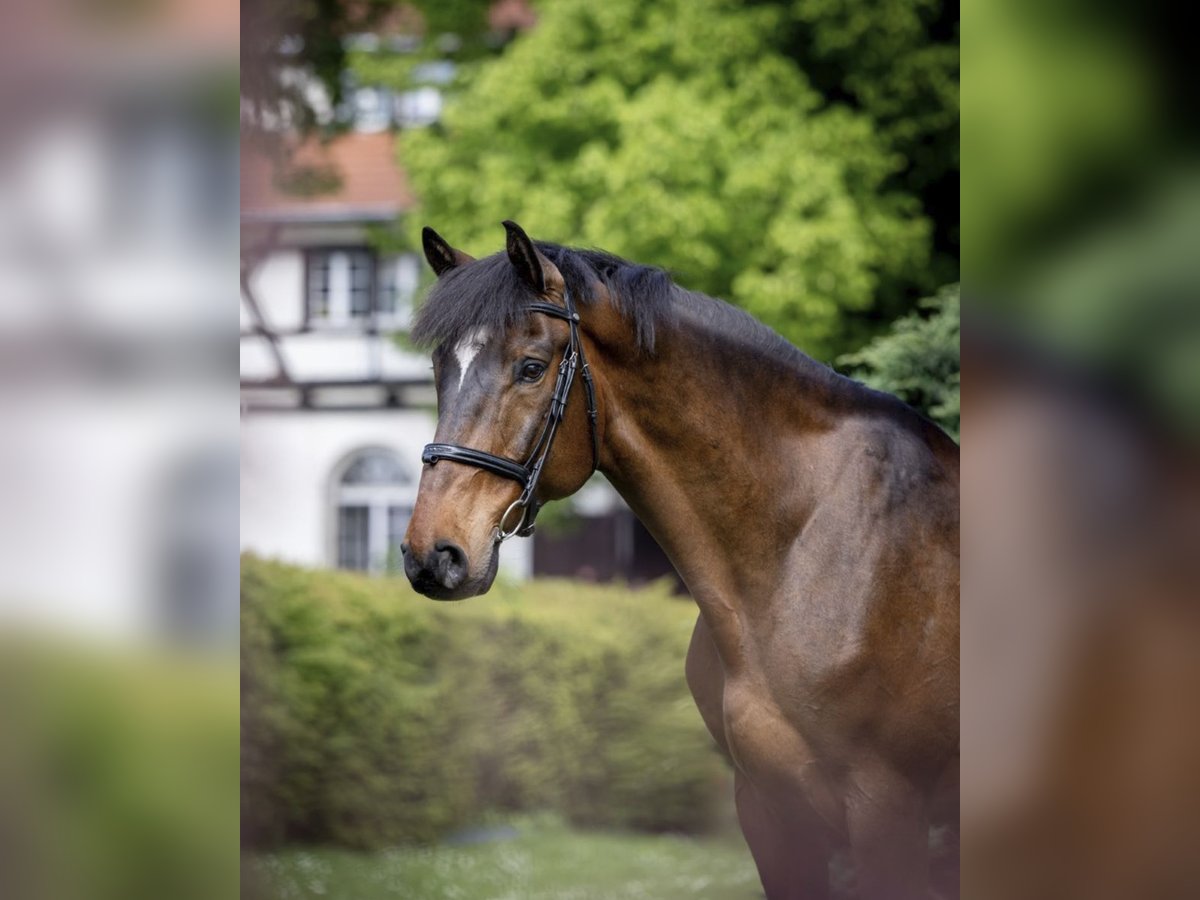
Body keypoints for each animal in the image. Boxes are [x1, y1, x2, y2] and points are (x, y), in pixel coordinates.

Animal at [401, 221, 960, 900]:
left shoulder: (886, 809)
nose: (432, 554)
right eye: (440, 369)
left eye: (531, 368)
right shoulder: (770, 812)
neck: (800, 554)